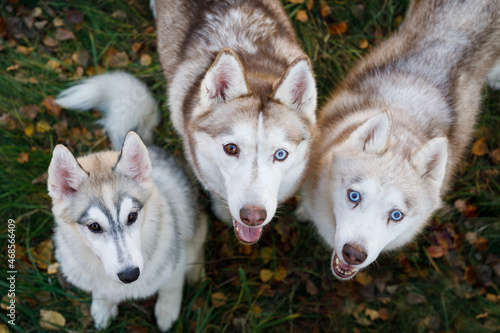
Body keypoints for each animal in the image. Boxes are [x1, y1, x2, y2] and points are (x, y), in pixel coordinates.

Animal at [49, 72, 206, 330]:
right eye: (94, 226)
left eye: (132, 216)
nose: (130, 275)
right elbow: (101, 292)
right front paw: (103, 307)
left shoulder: (174, 263)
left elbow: (171, 288)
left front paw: (167, 312)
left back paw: (195, 272)